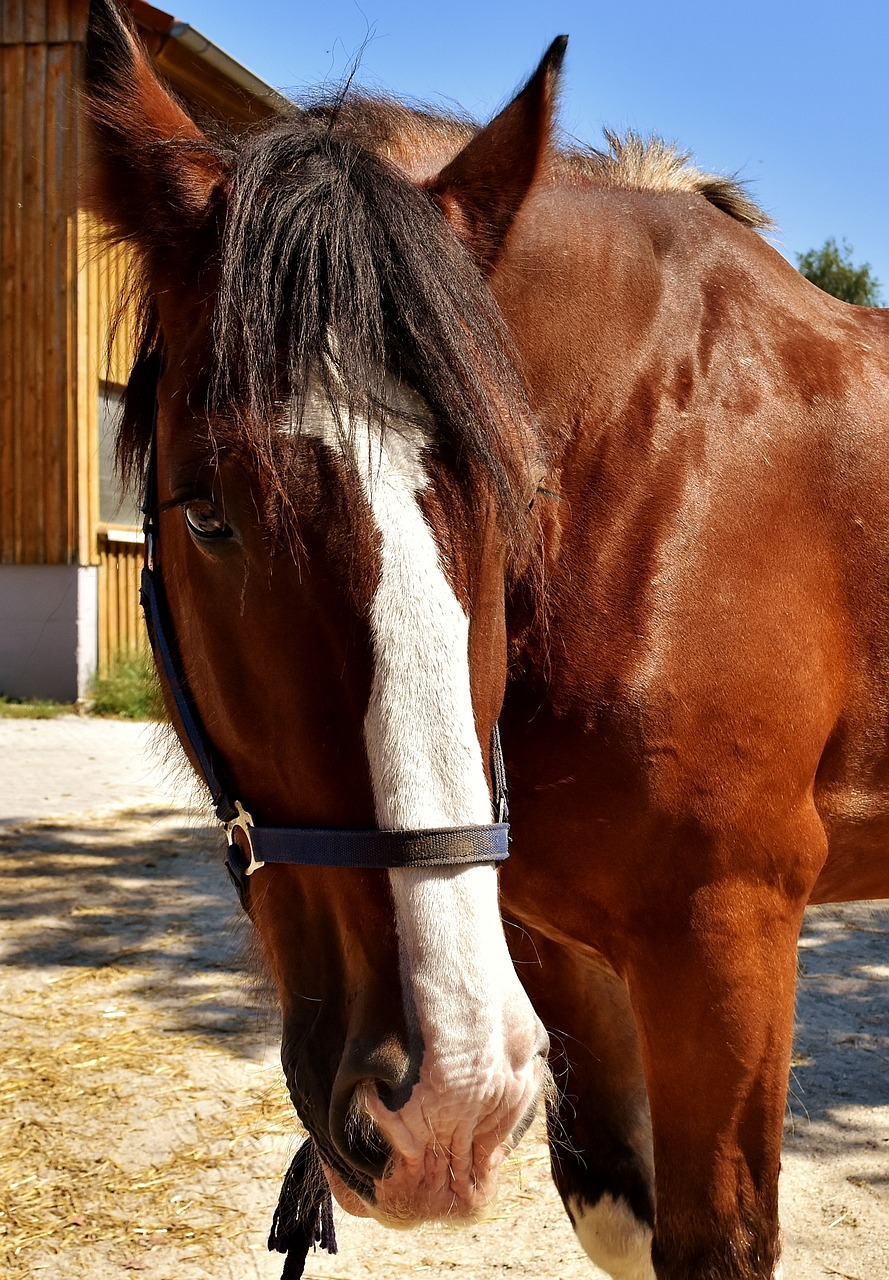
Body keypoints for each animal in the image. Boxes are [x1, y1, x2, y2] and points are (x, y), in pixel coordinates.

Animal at [83, 2, 889, 1280]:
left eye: (513, 494)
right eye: (208, 510)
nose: (441, 1110)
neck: (664, 474)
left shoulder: (727, 932)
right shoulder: (552, 947)